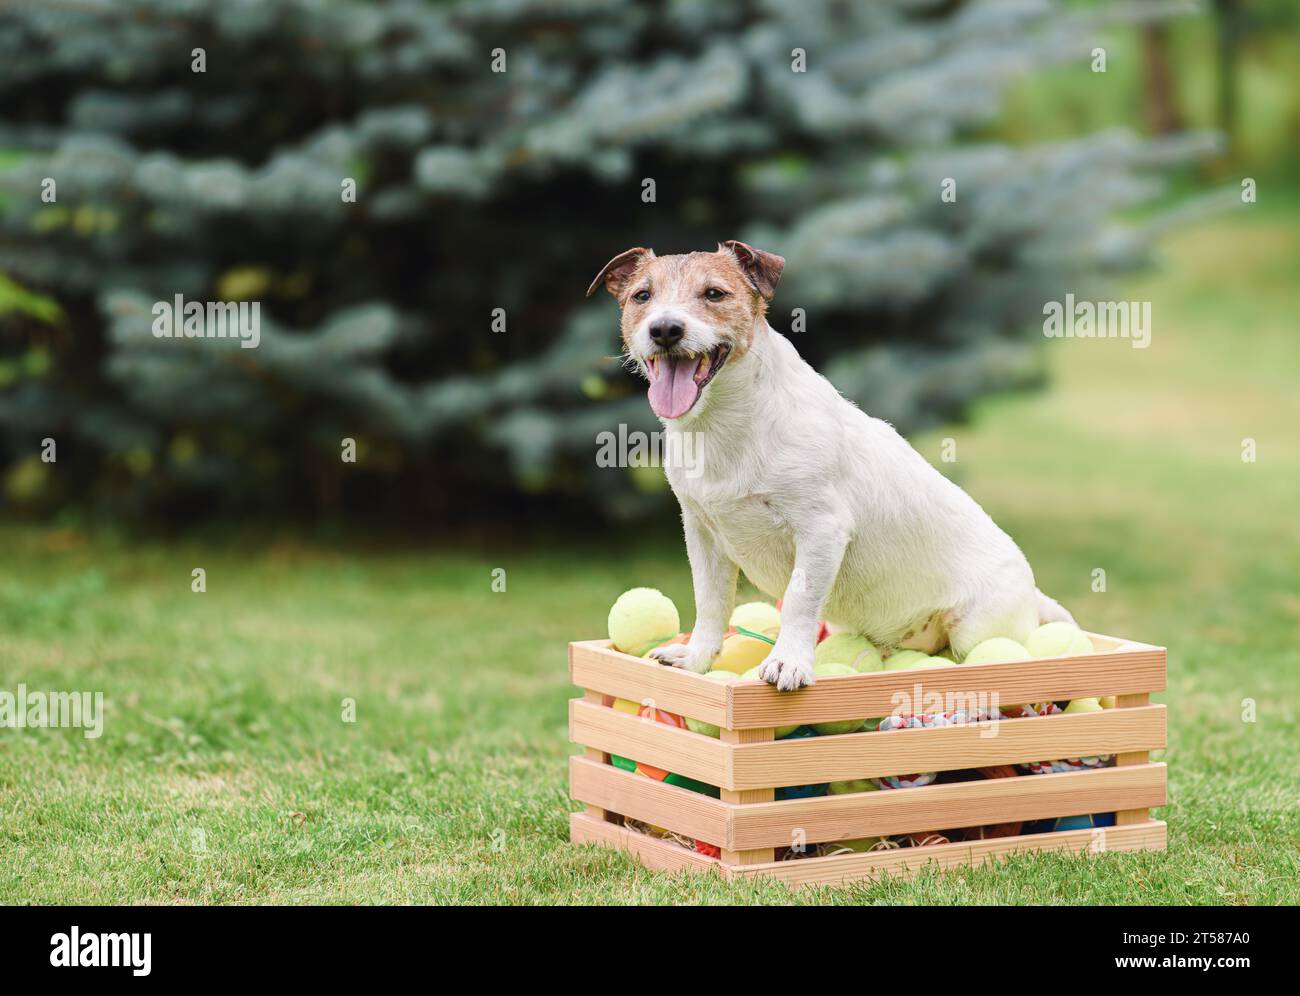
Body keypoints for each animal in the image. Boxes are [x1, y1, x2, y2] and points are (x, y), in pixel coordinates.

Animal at [585, 243, 1071, 696]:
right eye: (642, 296)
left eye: (714, 294)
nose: (665, 329)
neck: (727, 425)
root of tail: (1034, 595)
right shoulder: (702, 533)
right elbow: (710, 602)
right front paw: (697, 659)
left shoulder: (820, 528)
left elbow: (799, 599)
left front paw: (788, 662)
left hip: (975, 628)